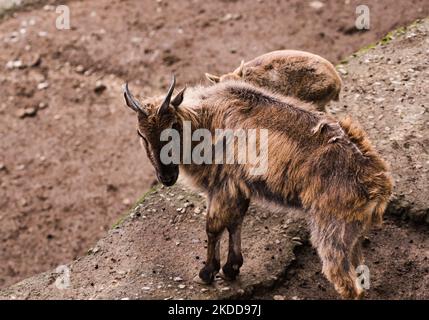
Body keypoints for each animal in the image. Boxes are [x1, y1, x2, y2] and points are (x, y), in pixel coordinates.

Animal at [123, 76, 392, 298]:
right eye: (141, 134)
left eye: (173, 126)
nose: (166, 177)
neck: (206, 120)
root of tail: (378, 185)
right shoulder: (239, 189)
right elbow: (235, 222)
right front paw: (231, 267)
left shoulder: (223, 187)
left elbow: (214, 227)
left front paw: (208, 272)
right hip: (352, 236)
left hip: (331, 231)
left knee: (346, 284)